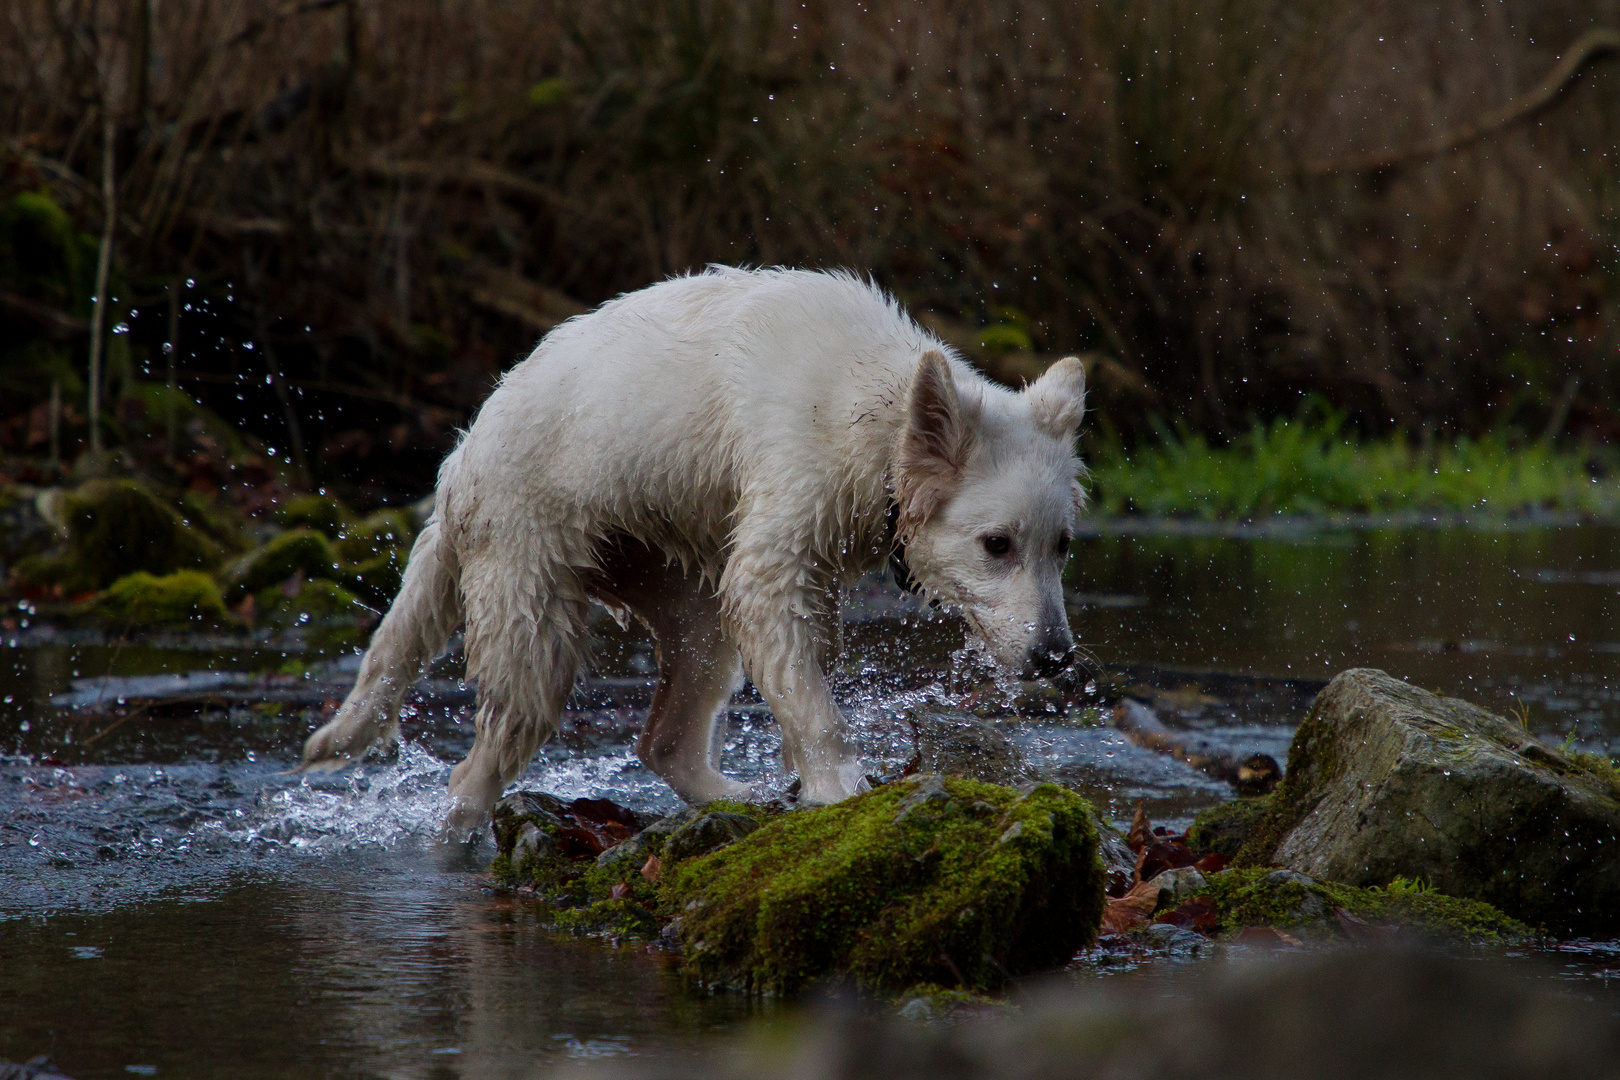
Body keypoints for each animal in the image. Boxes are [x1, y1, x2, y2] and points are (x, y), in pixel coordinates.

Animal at [304, 265, 1088, 835]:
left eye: (1062, 546)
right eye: (996, 544)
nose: (1056, 656)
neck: (875, 410)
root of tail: (458, 462)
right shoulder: (780, 536)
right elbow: (811, 693)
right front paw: (840, 787)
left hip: (686, 593)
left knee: (665, 738)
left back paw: (737, 798)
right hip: (532, 592)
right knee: (481, 763)